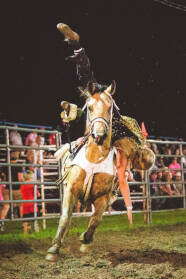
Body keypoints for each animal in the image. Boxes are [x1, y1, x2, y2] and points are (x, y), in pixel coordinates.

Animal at [46, 81, 117, 262]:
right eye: (90, 107)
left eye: (110, 107)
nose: (99, 135)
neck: (94, 159)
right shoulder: (70, 190)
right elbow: (65, 218)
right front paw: (53, 249)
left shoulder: (102, 198)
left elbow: (95, 221)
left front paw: (85, 240)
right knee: (68, 217)